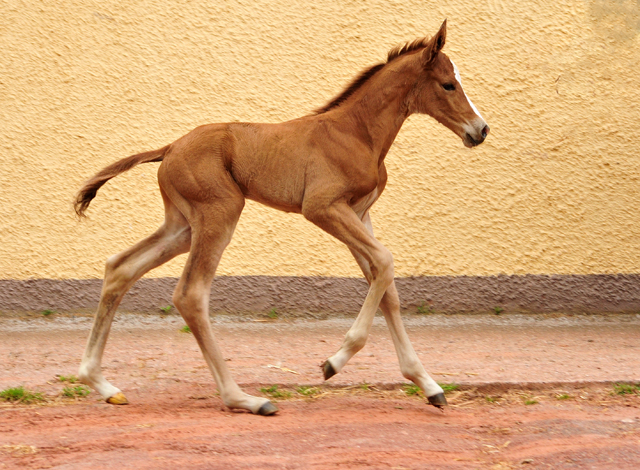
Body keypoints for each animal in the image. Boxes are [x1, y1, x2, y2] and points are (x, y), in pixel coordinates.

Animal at [74, 21, 490, 414]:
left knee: (121, 267)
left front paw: (428, 385)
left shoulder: (359, 213)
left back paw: (102, 384)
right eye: (448, 84)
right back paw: (244, 399)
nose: (480, 130)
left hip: (183, 226)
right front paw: (334, 362)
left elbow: (385, 286)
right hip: (220, 213)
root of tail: (171, 146)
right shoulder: (323, 207)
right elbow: (385, 263)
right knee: (190, 295)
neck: (356, 132)